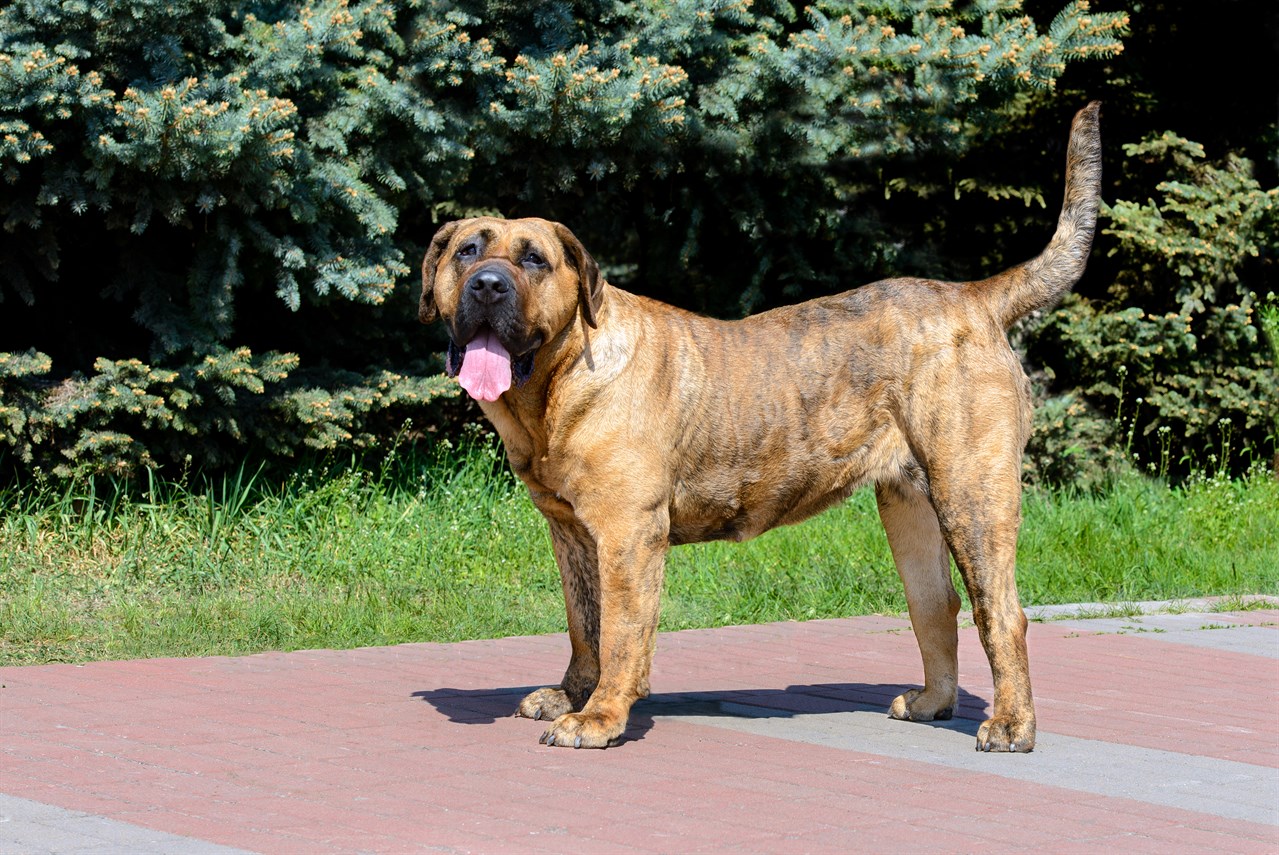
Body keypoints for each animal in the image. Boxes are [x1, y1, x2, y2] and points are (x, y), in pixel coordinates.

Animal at [416, 101, 1099, 752]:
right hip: (909, 506)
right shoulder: (571, 532)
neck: (553, 387)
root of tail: (973, 297)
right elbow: (584, 625)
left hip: (971, 494)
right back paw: (932, 702)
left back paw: (1010, 726)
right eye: (466, 250)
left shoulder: (627, 534)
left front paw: (598, 717)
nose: (487, 285)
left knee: (1000, 612)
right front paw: (569, 695)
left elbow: (619, 634)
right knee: (936, 604)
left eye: (534, 260)